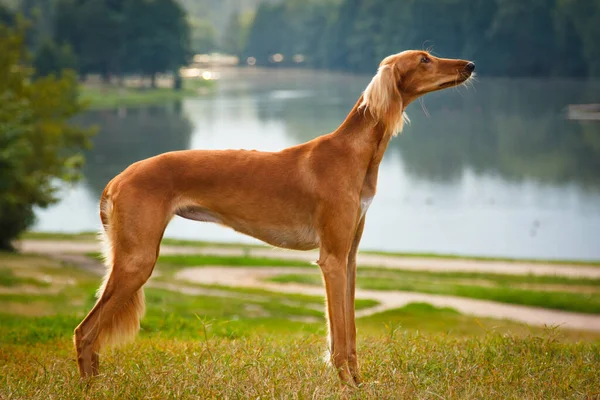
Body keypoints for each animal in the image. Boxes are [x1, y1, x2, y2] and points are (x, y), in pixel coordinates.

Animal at [74, 50, 474, 384]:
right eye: (424, 59)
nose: (470, 65)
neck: (352, 154)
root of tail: (117, 178)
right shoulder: (331, 259)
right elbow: (339, 337)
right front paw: (346, 385)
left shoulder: (349, 257)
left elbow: (350, 333)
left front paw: (359, 383)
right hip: (137, 260)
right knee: (84, 331)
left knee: (89, 334)